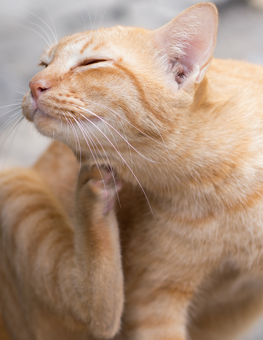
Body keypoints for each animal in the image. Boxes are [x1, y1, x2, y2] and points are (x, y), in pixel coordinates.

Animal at [0, 1, 263, 338]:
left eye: (92, 63)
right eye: (43, 63)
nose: (34, 85)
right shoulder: (154, 303)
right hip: (13, 180)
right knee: (98, 314)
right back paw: (94, 193)